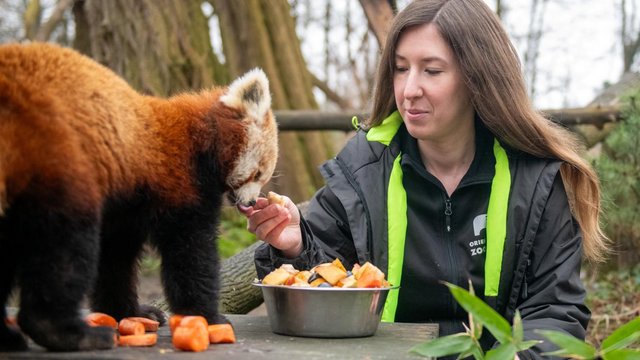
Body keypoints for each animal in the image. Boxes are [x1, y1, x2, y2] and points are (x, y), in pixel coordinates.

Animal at [0, 43, 278, 352]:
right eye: (258, 173)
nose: (250, 203)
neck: (201, 139)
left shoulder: (127, 207)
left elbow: (115, 260)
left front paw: (130, 313)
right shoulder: (179, 184)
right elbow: (190, 254)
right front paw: (208, 316)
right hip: (58, 161)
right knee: (65, 247)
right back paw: (67, 332)